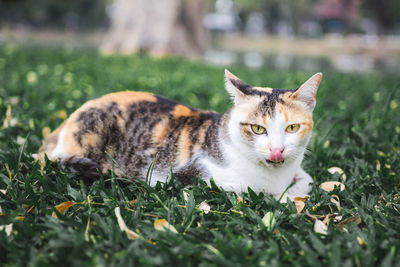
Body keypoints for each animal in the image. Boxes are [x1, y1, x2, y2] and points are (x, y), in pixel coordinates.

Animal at [39, 70, 322, 202]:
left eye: (292, 128)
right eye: (258, 129)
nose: (276, 151)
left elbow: (307, 180)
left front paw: (293, 194)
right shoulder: (190, 178)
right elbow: (252, 191)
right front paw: (285, 199)